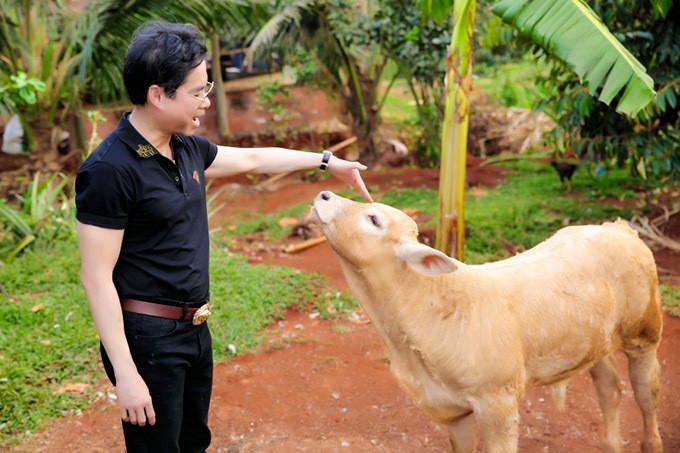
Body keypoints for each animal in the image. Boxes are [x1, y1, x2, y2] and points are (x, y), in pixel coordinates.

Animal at [314, 192, 664, 452]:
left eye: (374, 220)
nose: (324, 194)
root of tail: (618, 227)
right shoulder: (455, 411)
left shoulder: (499, 404)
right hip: (593, 340)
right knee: (610, 390)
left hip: (645, 333)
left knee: (646, 395)